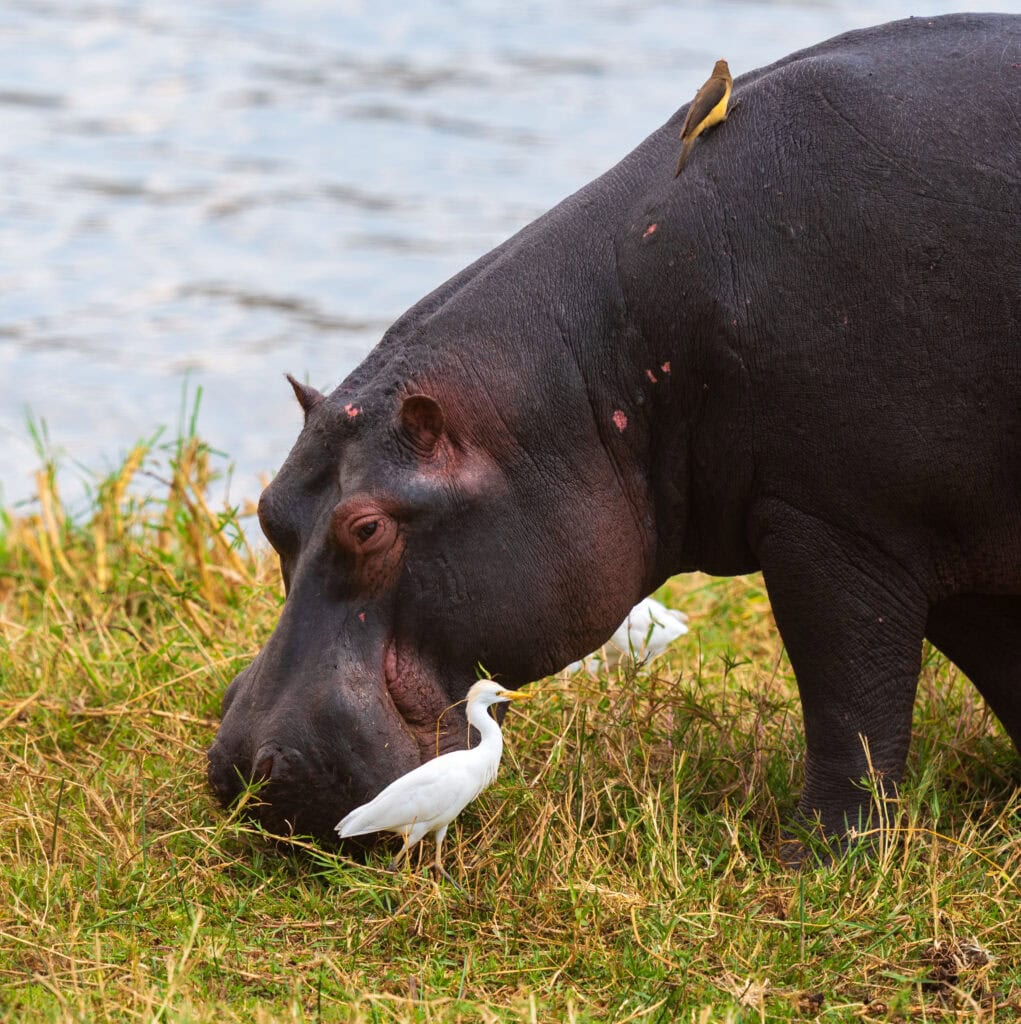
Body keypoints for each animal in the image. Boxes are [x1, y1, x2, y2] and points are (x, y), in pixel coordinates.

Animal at [207, 12, 1021, 845]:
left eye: (366, 528)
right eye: (268, 511)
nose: (241, 770)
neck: (603, 360)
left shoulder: (839, 525)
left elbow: (849, 709)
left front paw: (816, 860)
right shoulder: (952, 544)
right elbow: (1005, 674)